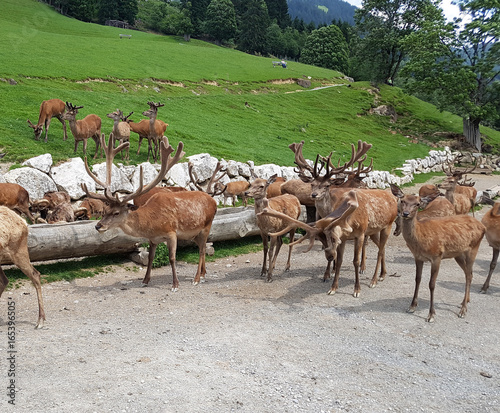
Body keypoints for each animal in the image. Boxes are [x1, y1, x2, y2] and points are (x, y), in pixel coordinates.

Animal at [82, 132, 217, 290]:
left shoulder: (171, 233)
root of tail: (214, 201)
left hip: (206, 226)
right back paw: (203, 273)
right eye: (105, 210)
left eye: (116, 213)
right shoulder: (153, 239)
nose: (98, 226)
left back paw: (196, 278)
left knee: (202, 250)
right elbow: (151, 257)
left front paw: (175, 284)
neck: (152, 223)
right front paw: (145, 280)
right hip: (193, 234)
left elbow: (172, 258)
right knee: (202, 248)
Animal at [390, 183, 484, 322]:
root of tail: (483, 226)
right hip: (458, 254)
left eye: (417, 204)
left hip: (474, 247)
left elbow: (432, 284)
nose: (405, 213)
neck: (420, 239)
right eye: (402, 201)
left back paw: (463, 310)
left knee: (468, 274)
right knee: (469, 273)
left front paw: (431, 314)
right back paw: (465, 301)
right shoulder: (418, 257)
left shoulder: (436, 256)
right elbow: (417, 279)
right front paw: (412, 306)